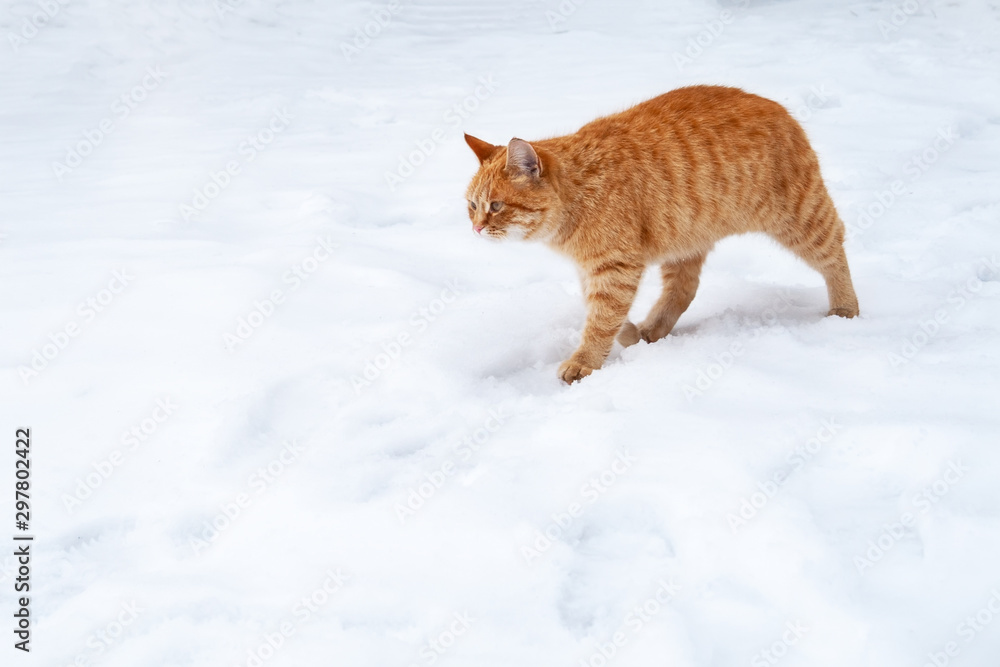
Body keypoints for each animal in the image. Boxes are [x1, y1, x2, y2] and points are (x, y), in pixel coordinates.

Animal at [462, 86, 860, 384]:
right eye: (471, 205)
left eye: (495, 206)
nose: (477, 227)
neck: (580, 190)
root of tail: (778, 106)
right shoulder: (594, 270)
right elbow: (602, 312)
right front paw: (627, 333)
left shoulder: (615, 268)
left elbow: (601, 320)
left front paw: (586, 361)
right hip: (684, 238)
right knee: (684, 288)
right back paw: (651, 331)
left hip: (802, 219)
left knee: (836, 249)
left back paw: (846, 308)